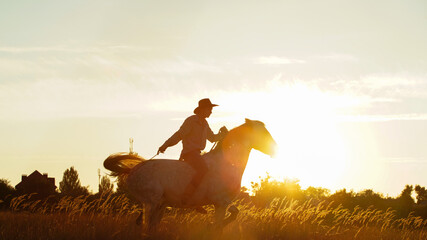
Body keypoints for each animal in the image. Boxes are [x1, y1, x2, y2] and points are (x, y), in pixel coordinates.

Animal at [104, 118, 278, 232]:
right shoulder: (221, 201)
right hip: (151, 203)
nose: (275, 149)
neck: (226, 163)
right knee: (147, 227)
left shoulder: (221, 204)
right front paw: (211, 226)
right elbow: (229, 217)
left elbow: (227, 219)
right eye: (263, 133)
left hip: (160, 205)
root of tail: (133, 170)